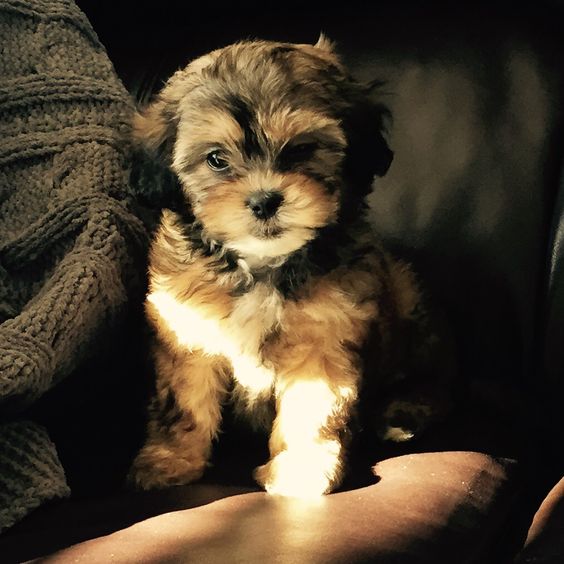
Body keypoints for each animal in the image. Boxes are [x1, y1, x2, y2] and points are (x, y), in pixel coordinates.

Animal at [128, 36, 450, 498]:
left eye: (302, 148)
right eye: (216, 159)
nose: (265, 200)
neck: (262, 264)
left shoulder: (324, 337)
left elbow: (312, 407)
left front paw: (300, 469)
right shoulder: (187, 331)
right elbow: (184, 401)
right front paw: (170, 460)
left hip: (407, 302)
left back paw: (402, 414)